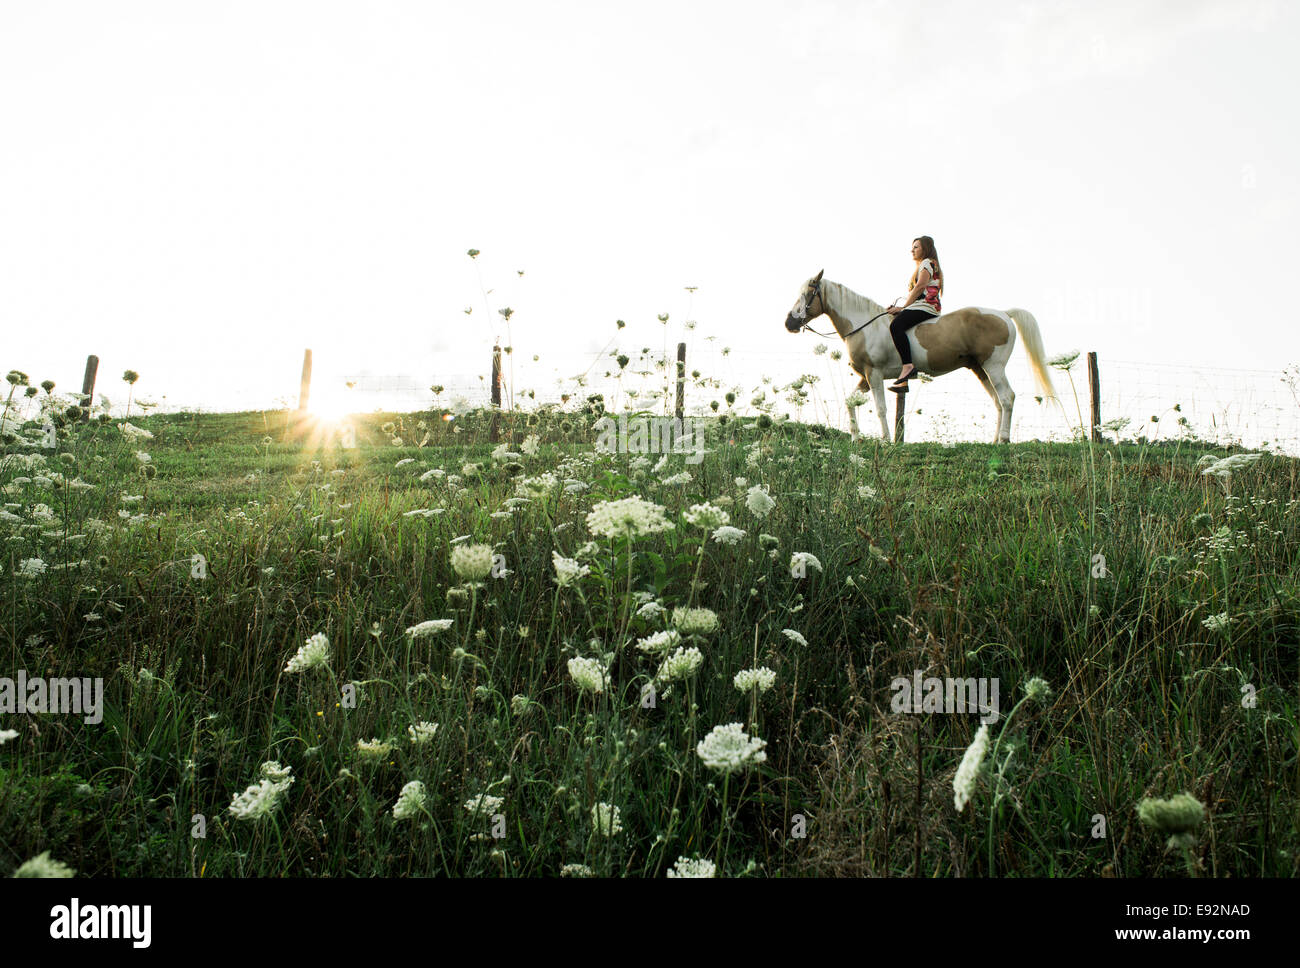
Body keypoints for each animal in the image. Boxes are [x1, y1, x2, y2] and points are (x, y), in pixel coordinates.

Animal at [785, 266, 1060, 444]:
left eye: (808, 293)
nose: (789, 323)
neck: (864, 325)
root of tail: (1004, 313)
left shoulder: (874, 374)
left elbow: (881, 408)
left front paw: (885, 440)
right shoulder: (864, 377)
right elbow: (850, 402)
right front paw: (855, 438)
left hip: (994, 366)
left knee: (1007, 398)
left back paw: (1003, 439)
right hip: (980, 369)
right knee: (997, 401)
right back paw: (994, 440)